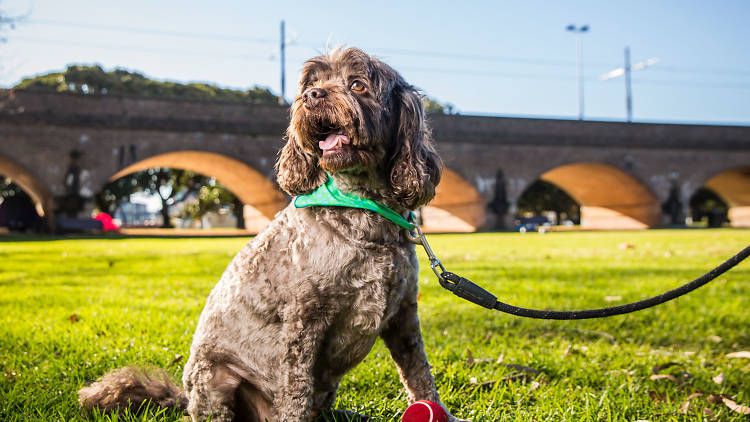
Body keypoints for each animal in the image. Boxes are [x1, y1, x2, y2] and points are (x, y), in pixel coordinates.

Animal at [81, 47, 458, 422]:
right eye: (313, 82)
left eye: (357, 84)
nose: (312, 96)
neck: (364, 211)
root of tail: (185, 401)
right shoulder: (304, 318)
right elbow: (295, 387)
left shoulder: (403, 316)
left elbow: (419, 373)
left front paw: (440, 412)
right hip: (213, 377)